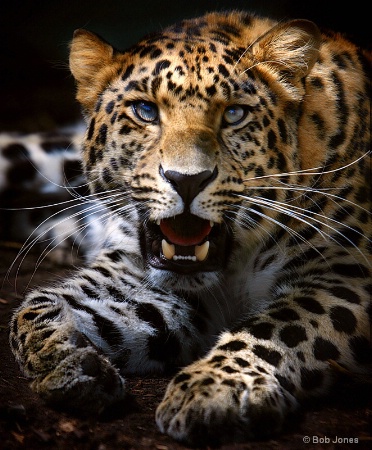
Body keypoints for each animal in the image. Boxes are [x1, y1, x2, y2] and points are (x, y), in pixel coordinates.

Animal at [6, 10, 372, 446]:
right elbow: (38, 308)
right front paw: (66, 359)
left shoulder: (345, 274)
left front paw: (214, 389)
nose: (187, 180)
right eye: (145, 111)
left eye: (234, 114)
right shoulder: (143, 276)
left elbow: (280, 327)